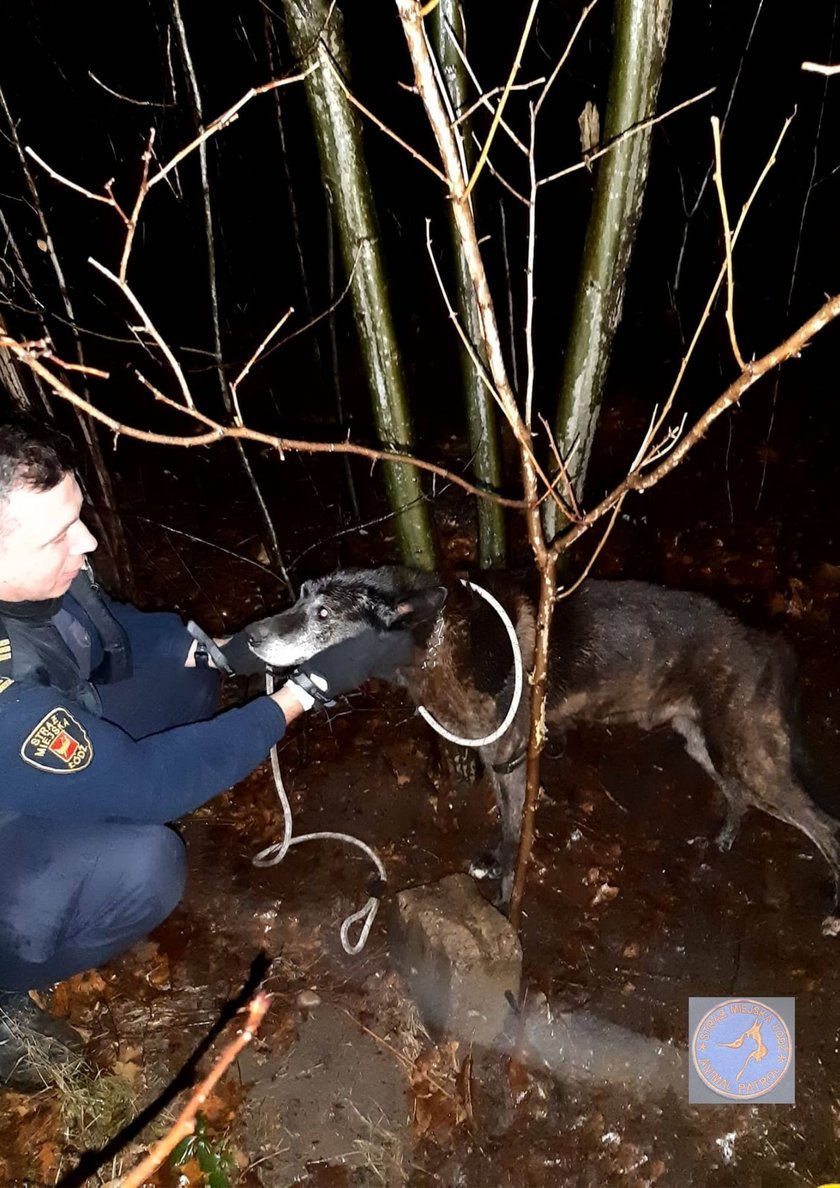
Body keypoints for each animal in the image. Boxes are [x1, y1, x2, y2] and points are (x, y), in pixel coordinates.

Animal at [249, 570, 840, 931]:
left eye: (325, 615)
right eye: (300, 594)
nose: (250, 636)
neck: (439, 640)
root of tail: (770, 642)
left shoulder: (512, 761)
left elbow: (516, 832)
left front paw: (504, 900)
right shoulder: (496, 760)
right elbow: (504, 822)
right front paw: (492, 863)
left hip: (750, 753)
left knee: (825, 827)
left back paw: (835, 907)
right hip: (703, 742)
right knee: (738, 795)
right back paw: (723, 837)